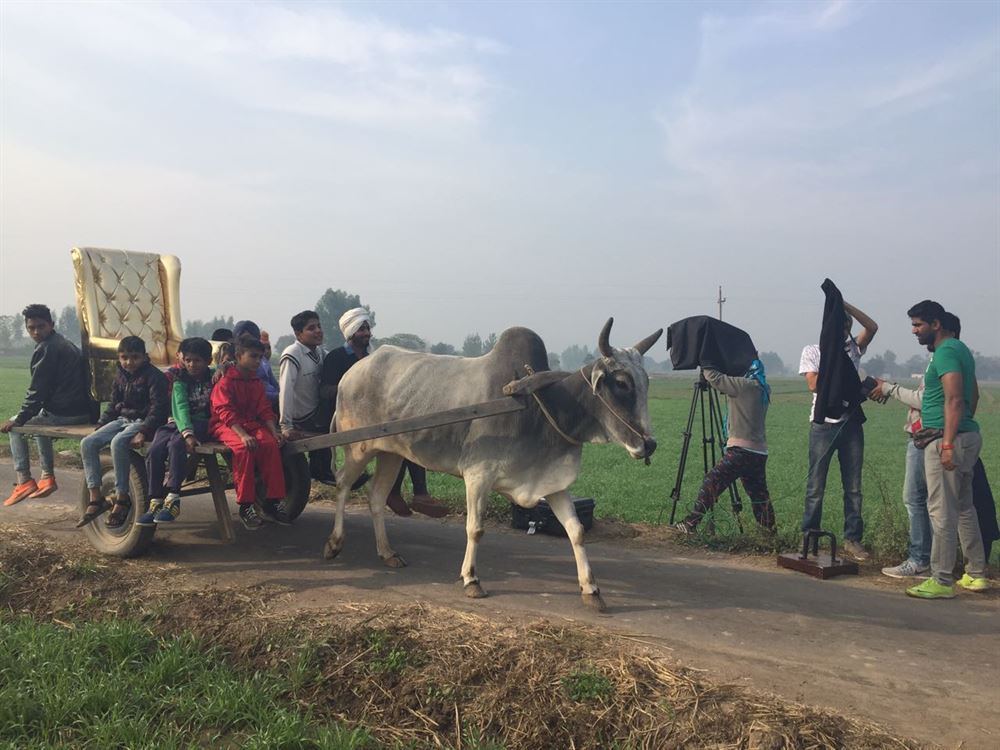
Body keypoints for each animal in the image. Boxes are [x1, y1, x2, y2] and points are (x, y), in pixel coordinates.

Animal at [323, 318, 663, 612]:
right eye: (622, 383)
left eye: (647, 382)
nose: (649, 444)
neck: (539, 406)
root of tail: (352, 372)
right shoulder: (478, 475)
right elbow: (475, 529)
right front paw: (471, 580)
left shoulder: (550, 481)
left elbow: (576, 531)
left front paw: (591, 589)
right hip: (358, 448)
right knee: (342, 484)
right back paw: (334, 543)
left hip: (391, 453)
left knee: (376, 496)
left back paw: (387, 552)